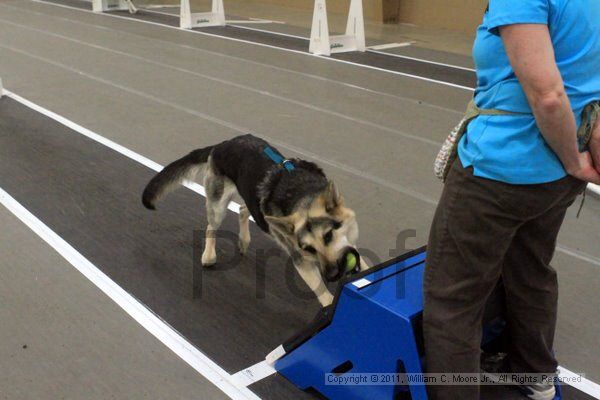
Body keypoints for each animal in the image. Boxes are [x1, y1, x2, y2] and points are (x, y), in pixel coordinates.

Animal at [143, 134, 368, 306]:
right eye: (308, 249)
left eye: (328, 235)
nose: (332, 276)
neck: (300, 194)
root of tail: (221, 144)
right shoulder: (302, 262)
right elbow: (323, 293)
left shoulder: (350, 243)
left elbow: (365, 266)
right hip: (218, 207)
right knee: (210, 228)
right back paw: (208, 255)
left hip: (250, 201)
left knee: (243, 209)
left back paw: (244, 240)